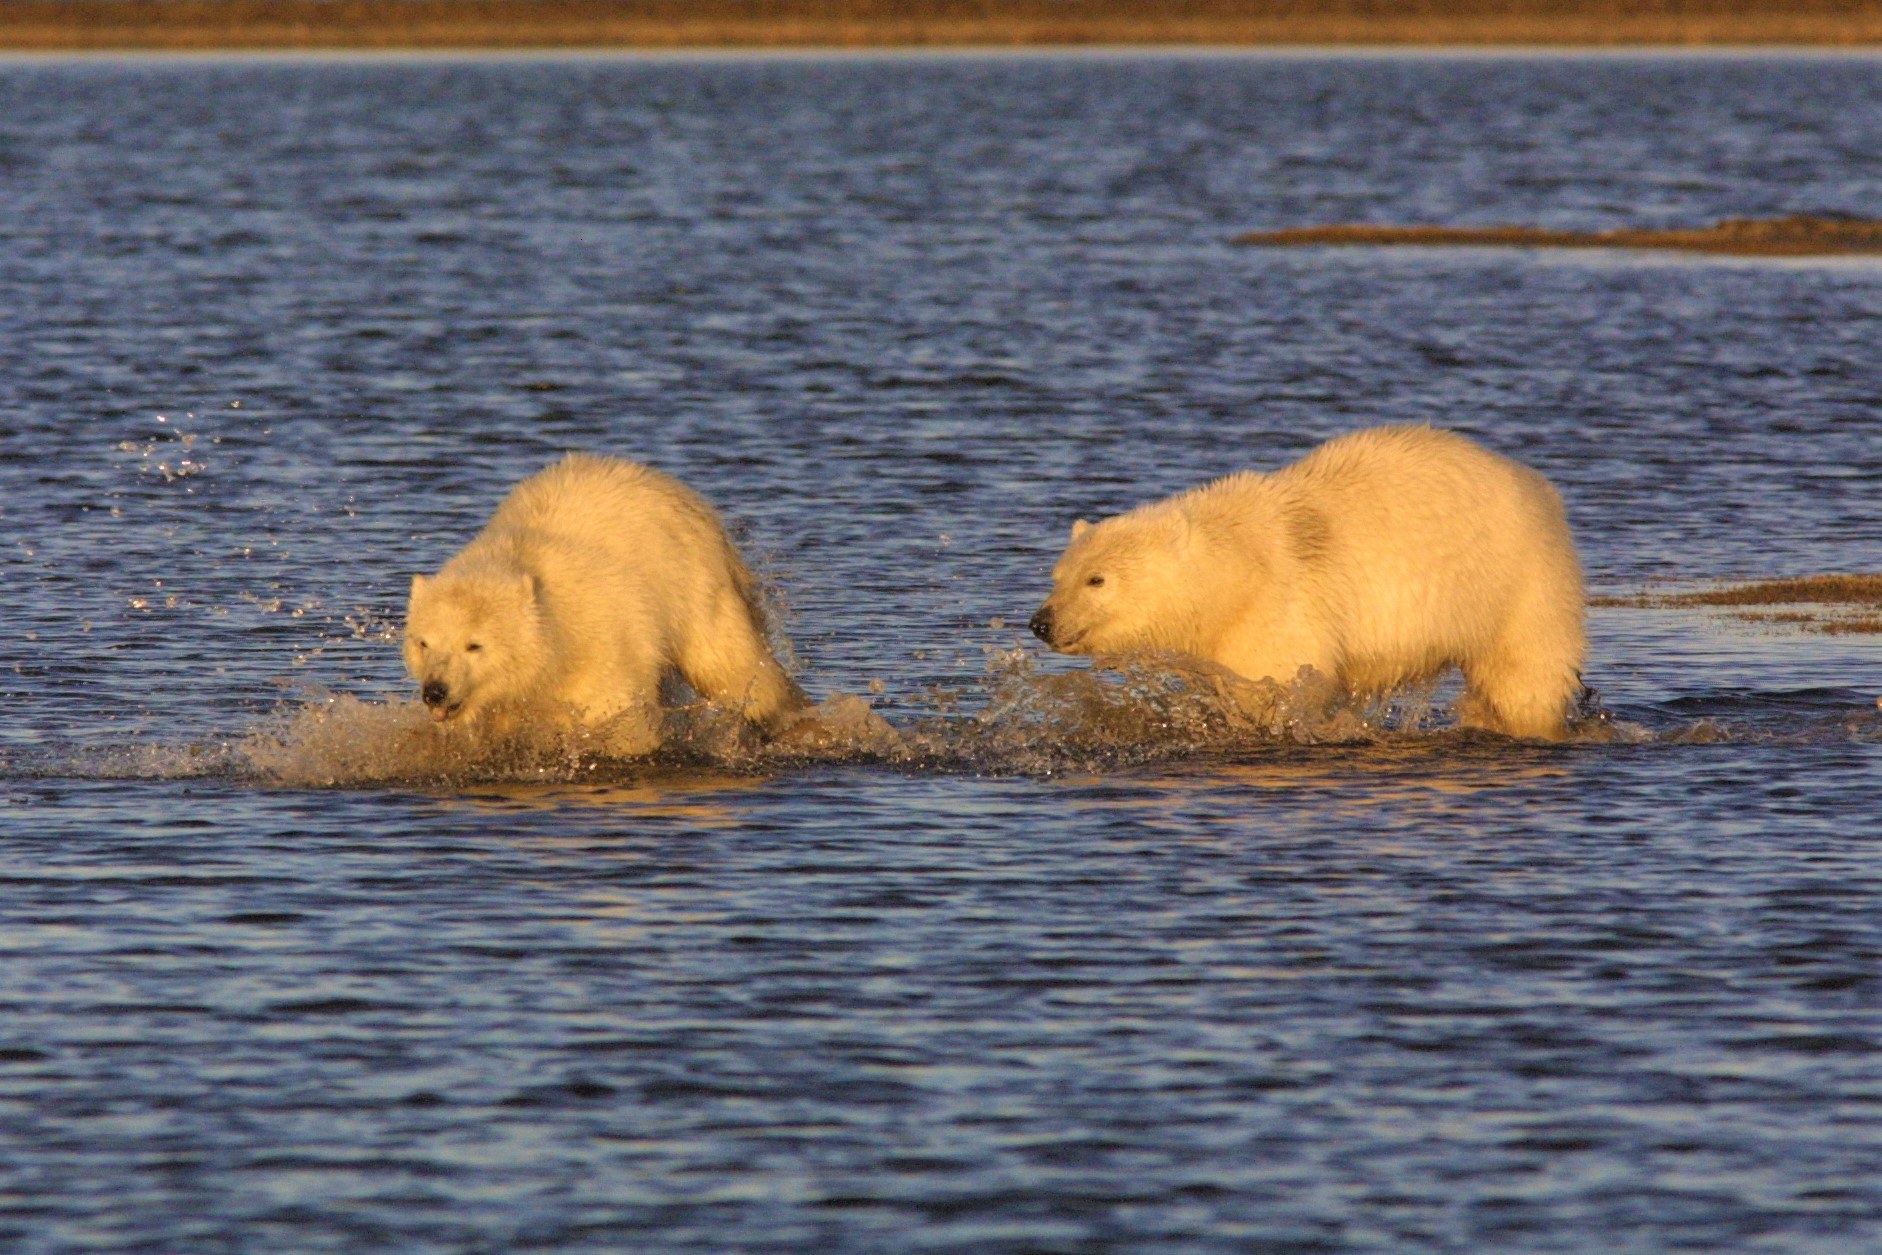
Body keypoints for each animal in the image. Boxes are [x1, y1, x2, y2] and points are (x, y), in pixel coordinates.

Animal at [403, 453, 806, 756]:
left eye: (474, 644)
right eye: (423, 643)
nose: (434, 690)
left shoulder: (602, 639)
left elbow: (617, 715)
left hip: (691, 579)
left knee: (727, 662)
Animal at [1028, 425, 1586, 740]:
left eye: (1096, 579)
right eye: (1058, 575)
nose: (1041, 622)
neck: (1236, 565)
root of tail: (1541, 487)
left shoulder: (1281, 604)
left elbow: (1276, 682)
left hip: (1516, 581)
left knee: (1523, 674)